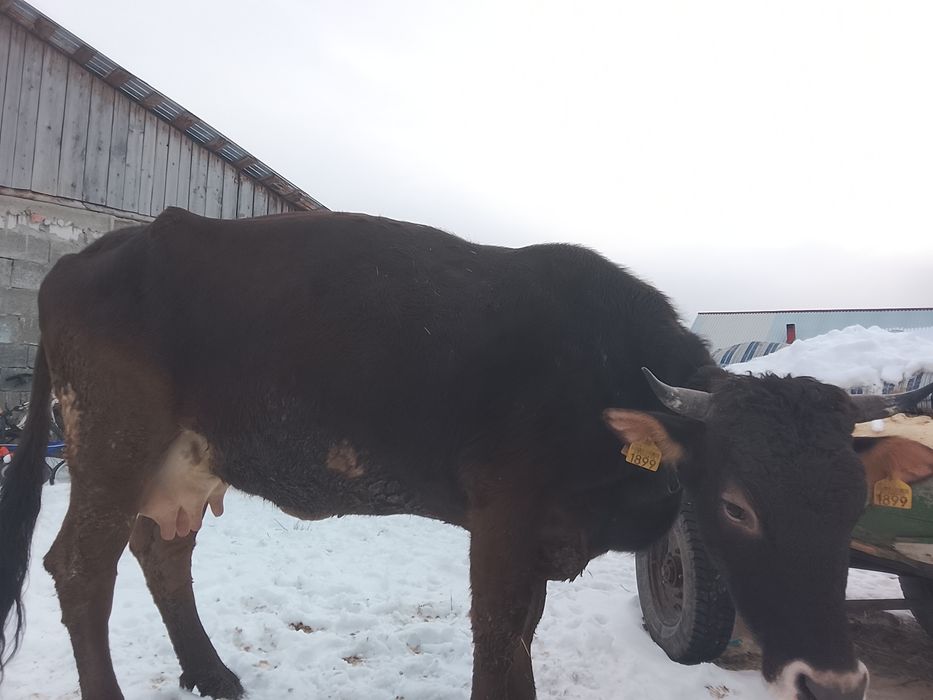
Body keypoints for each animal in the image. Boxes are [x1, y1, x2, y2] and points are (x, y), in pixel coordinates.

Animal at [0, 207, 929, 700]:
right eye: (736, 504)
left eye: (853, 504)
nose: (832, 682)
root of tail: (91, 255)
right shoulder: (504, 512)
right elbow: (497, 633)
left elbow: (520, 630)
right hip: (113, 439)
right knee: (80, 567)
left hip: (184, 459)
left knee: (162, 552)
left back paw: (213, 672)